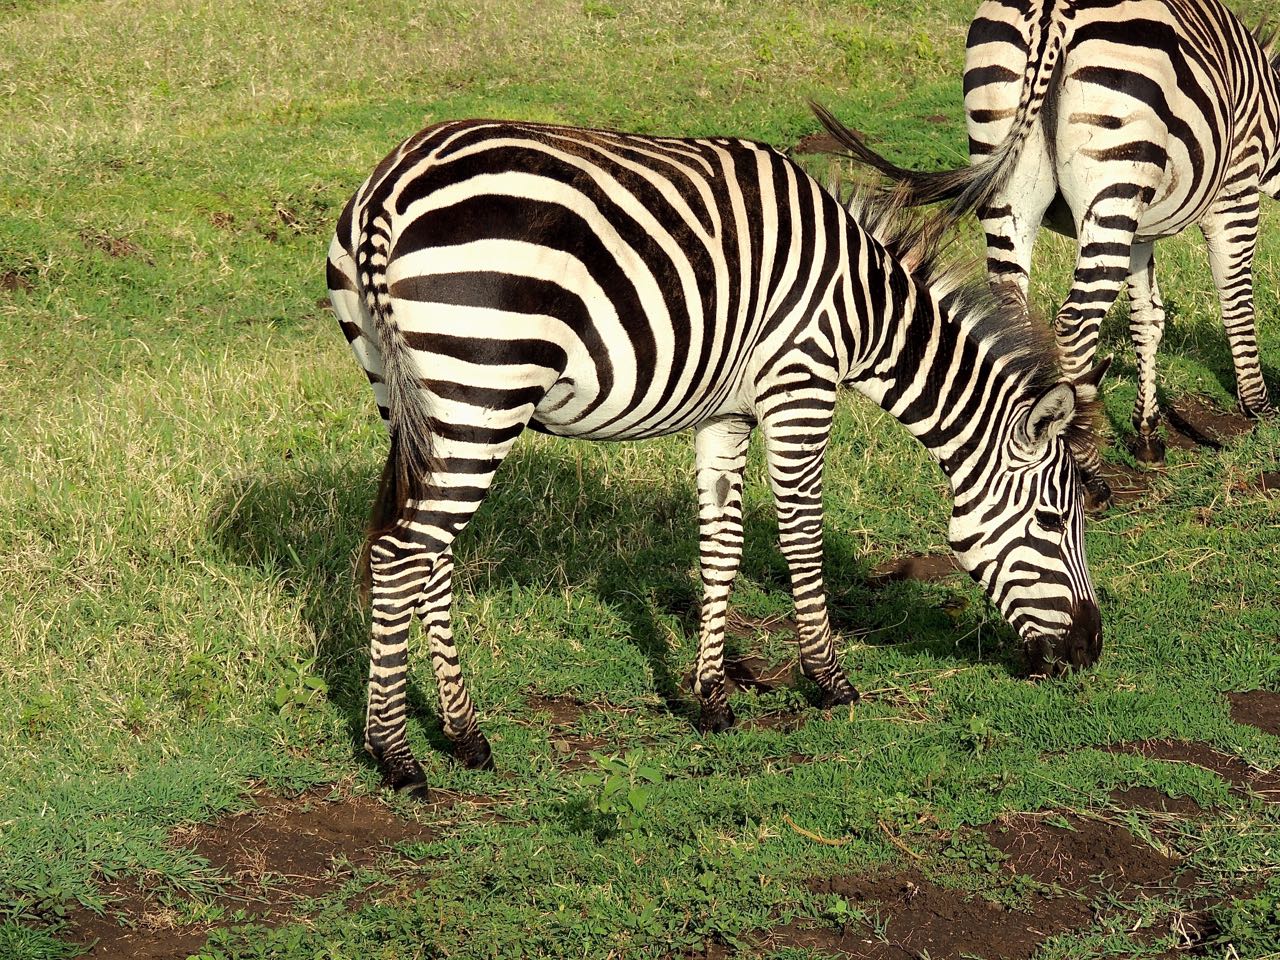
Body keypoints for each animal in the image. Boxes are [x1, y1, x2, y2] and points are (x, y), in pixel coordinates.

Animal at [325, 116, 1105, 798]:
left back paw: (464, 736)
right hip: (480, 387)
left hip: (410, 400)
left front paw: (712, 699)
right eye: (1051, 520)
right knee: (402, 555)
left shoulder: (726, 413)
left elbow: (721, 545)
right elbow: (800, 533)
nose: (1091, 652)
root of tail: (389, 188)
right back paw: (396, 756)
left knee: (428, 556)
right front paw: (829, 681)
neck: (866, 309)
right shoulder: (801, 381)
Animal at [819, 0, 1280, 496]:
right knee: (1075, 324)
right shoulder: (1236, 186)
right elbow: (1236, 299)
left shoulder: (1140, 230)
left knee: (1013, 308)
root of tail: (1051, 15)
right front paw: (1258, 410)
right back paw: (1088, 474)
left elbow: (1148, 319)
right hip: (1112, 174)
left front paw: (1147, 434)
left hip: (1010, 175)